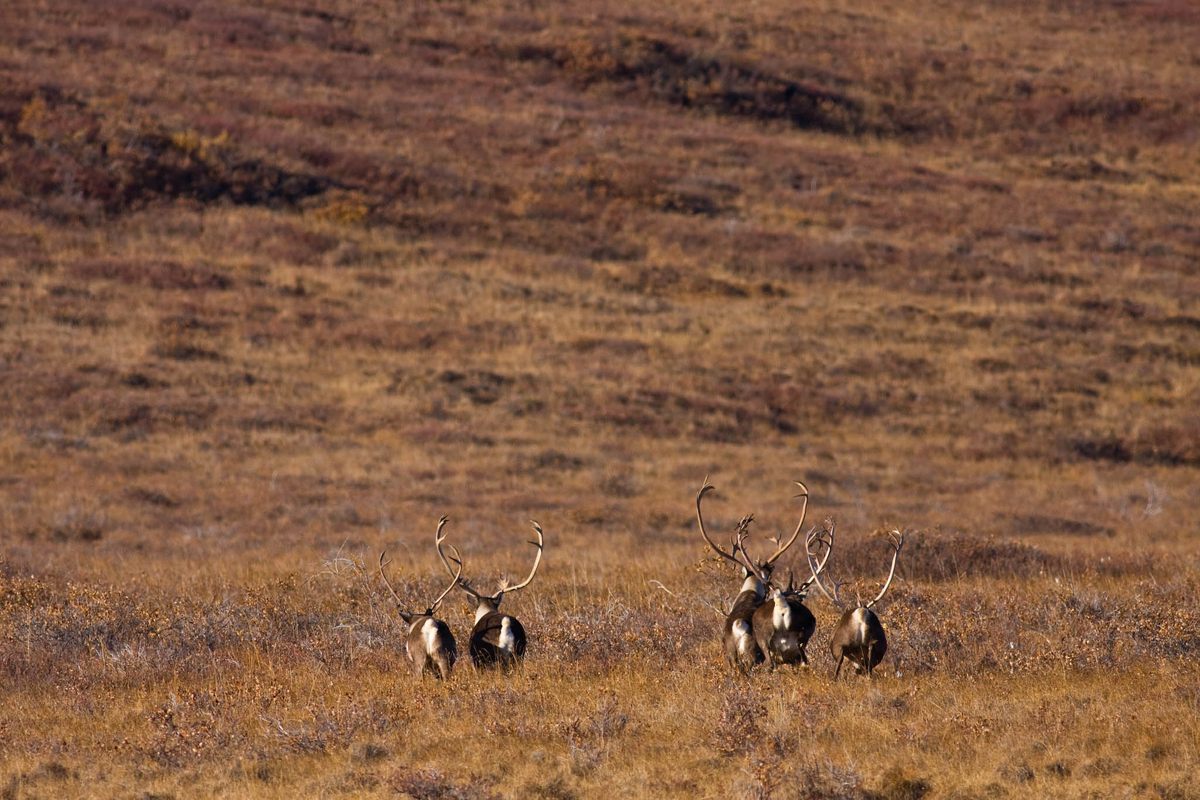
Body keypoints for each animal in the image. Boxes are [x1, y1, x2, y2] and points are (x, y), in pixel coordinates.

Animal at [806, 528, 905, 679]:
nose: (858, 669)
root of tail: (861, 615)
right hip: (874, 645)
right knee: (869, 670)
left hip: (841, 647)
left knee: (837, 671)